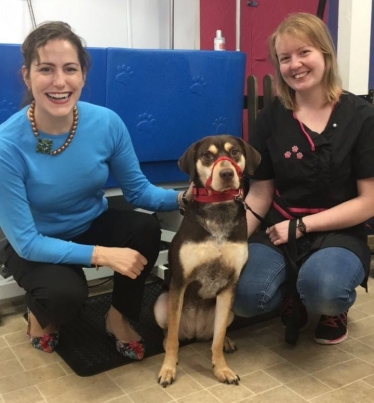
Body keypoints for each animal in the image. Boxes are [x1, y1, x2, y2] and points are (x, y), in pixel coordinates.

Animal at [153, 135, 262, 388]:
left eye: (234, 152)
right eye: (207, 155)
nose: (226, 174)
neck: (218, 210)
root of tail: (194, 332)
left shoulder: (229, 286)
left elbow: (217, 338)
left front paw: (222, 369)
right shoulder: (180, 282)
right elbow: (172, 340)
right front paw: (168, 369)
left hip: (229, 312)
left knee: (213, 335)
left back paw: (227, 341)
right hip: (161, 304)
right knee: (170, 332)